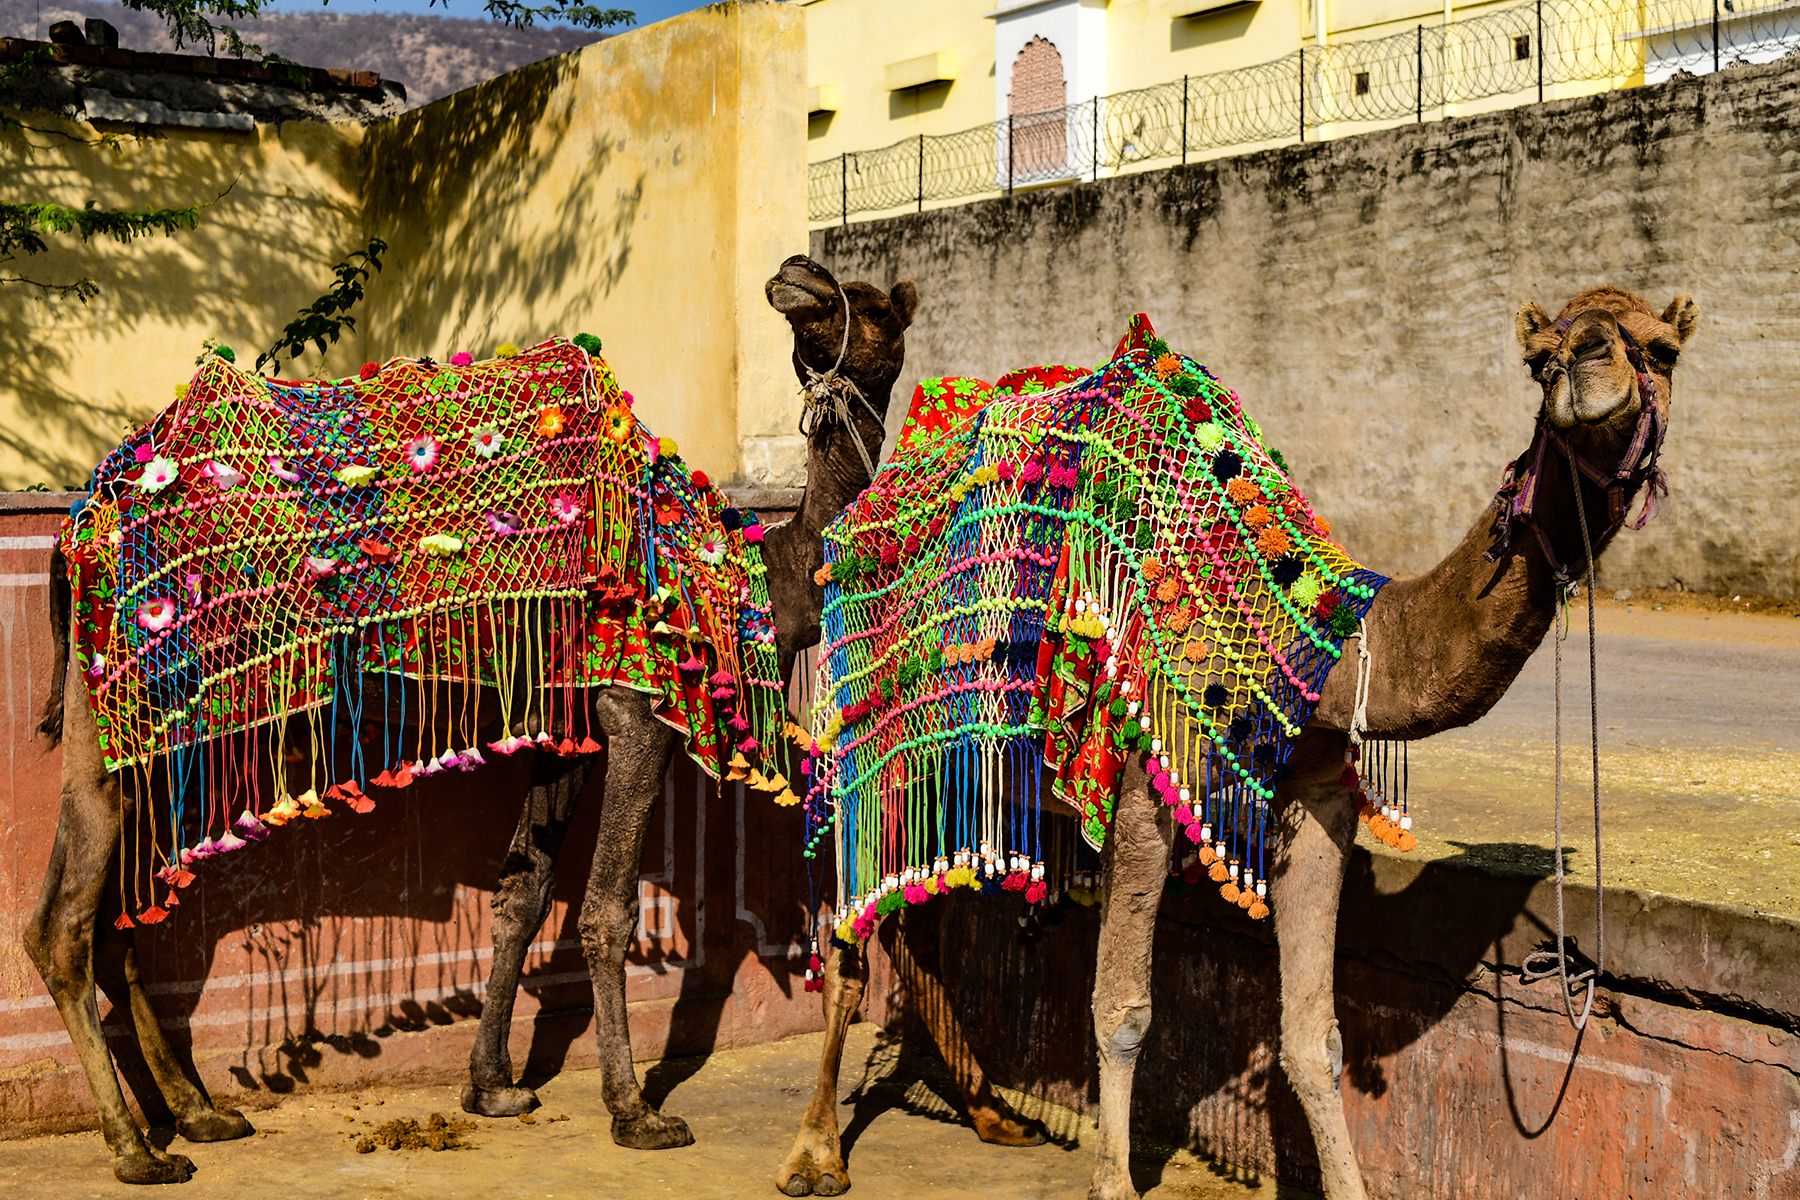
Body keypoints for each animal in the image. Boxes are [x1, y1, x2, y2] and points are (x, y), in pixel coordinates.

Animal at [28, 253, 921, 1180]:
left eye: (876, 307)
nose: (795, 273)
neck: (743, 577)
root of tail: (74, 528)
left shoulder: (571, 724)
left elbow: (523, 890)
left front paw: (490, 1084)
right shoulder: (637, 707)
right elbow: (605, 910)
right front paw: (634, 1109)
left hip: (140, 741)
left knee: (110, 925)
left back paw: (200, 1114)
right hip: (128, 717)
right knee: (65, 927)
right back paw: (137, 1148)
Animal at [777, 284, 1699, 1200]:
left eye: (1662, 348)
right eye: (1539, 358)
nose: (1588, 368)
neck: (1331, 649)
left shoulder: (1318, 798)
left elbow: (1316, 1038)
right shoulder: (1144, 783)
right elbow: (1122, 1012)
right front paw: (1112, 1183)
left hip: (967, 765)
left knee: (917, 910)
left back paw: (992, 1114)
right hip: (872, 737)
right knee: (854, 936)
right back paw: (815, 1152)